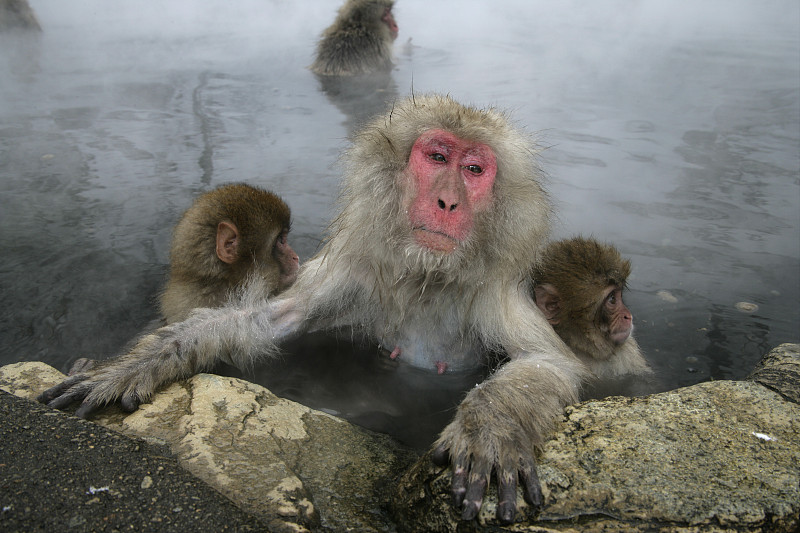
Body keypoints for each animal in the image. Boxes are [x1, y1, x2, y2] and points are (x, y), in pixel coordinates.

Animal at [39, 95, 588, 524]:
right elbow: (266, 320)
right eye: (437, 157)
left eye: (474, 170)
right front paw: (138, 364)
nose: (448, 202)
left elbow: (548, 362)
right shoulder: (357, 273)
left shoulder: (494, 294)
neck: (427, 276)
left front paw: (489, 425)